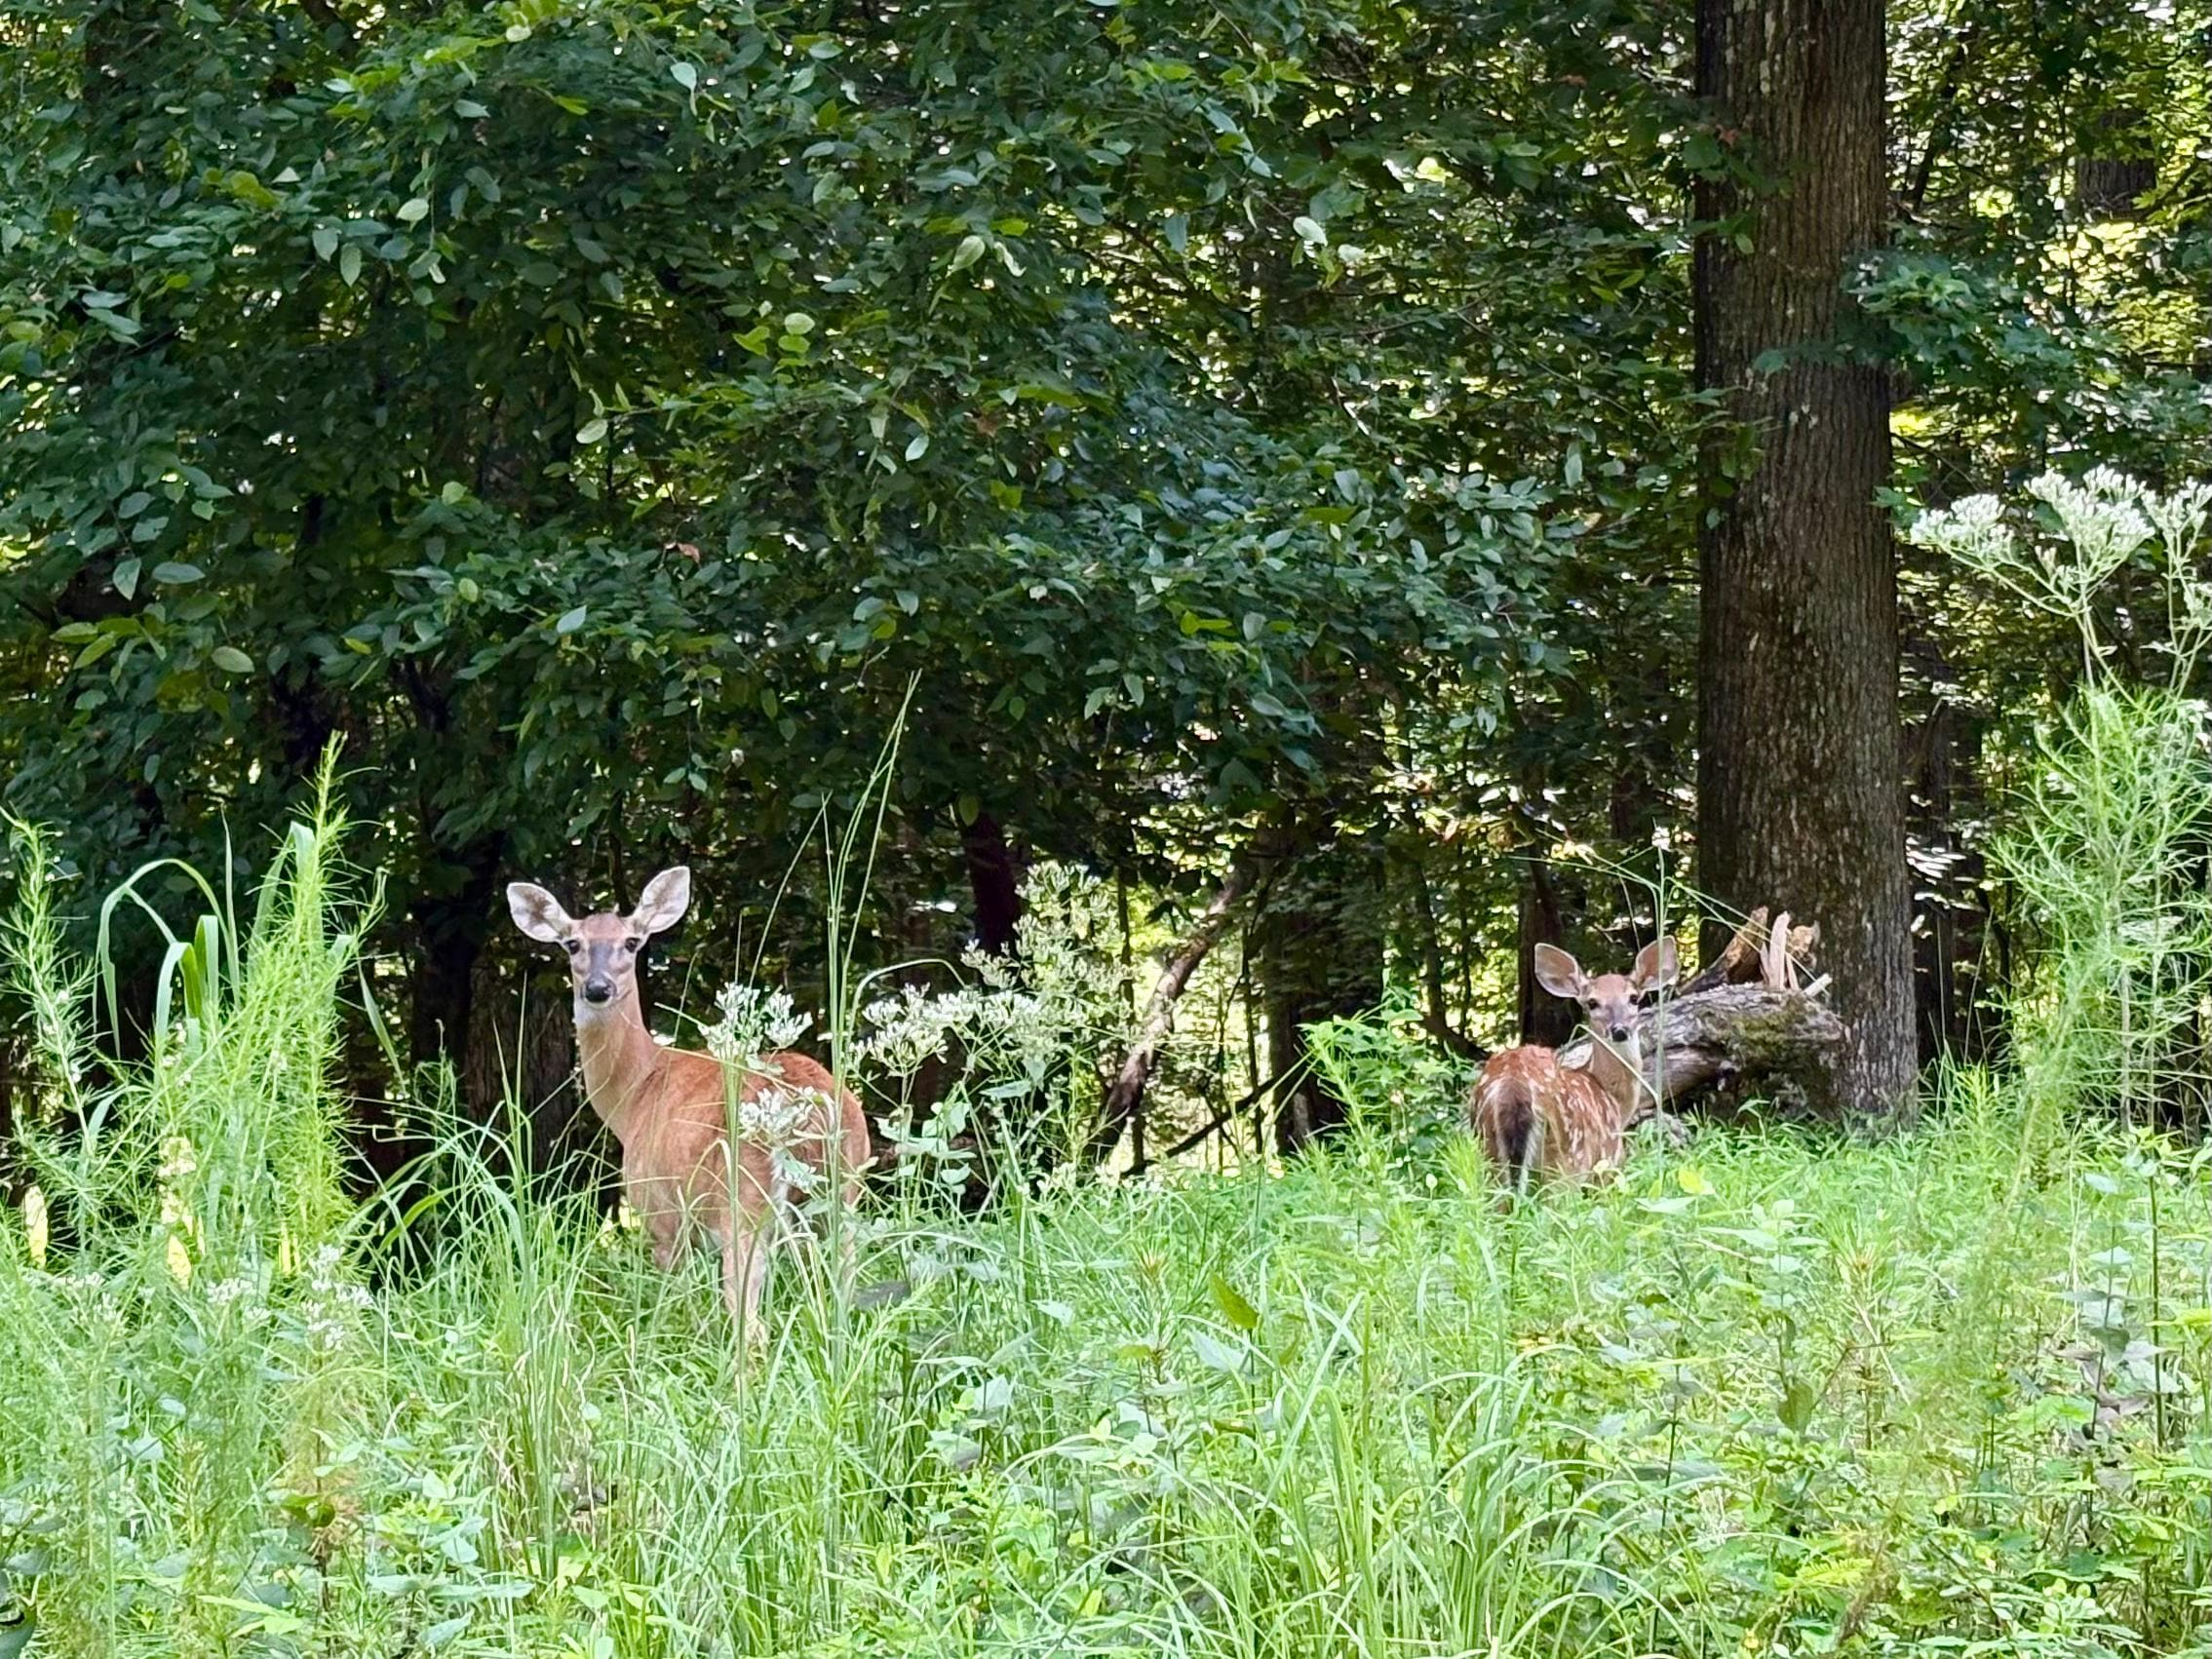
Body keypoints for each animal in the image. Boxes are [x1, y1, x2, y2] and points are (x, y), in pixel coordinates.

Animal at [506, 867, 871, 1342]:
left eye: (632, 942)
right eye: (572, 943)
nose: (599, 988)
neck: (635, 1093)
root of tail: (807, 1104)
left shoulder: (660, 1218)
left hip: (745, 1203)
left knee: (750, 1323)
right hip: (844, 1194)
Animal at [1470, 937, 1678, 1191]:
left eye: (1633, 999)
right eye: (1592, 1003)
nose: (1619, 1030)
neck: (1615, 1102)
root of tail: (1514, 1085)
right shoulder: (1608, 1161)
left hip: (1488, 1152)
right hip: (1568, 1158)